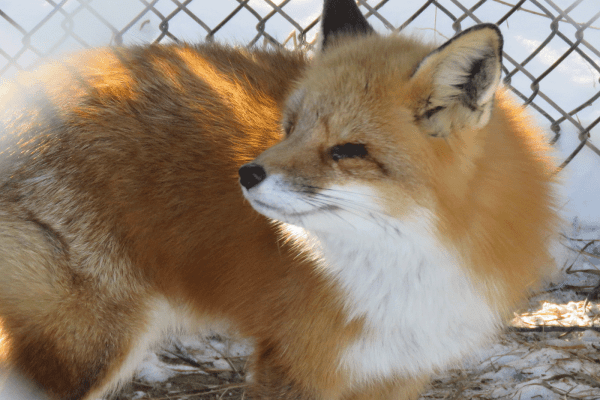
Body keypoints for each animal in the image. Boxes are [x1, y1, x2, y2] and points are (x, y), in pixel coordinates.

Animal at [2, 0, 560, 398]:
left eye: (347, 150)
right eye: (290, 127)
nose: (247, 173)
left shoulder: (396, 371)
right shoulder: (296, 363)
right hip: (90, 345)